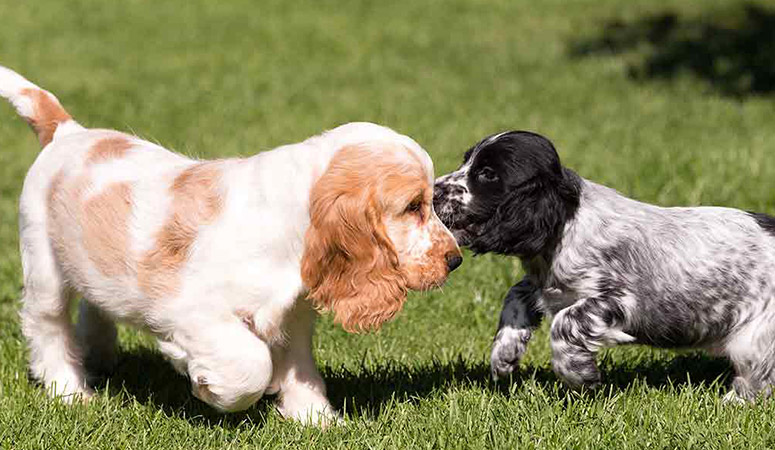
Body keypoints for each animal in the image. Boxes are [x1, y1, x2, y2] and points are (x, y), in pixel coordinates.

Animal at [1, 65, 460, 424]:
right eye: (413, 206)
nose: (455, 260)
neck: (292, 222)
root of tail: (67, 132)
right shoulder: (194, 311)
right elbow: (251, 363)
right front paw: (210, 385)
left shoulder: (293, 315)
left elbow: (300, 367)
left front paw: (316, 419)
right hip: (44, 266)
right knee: (47, 327)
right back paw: (70, 390)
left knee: (96, 307)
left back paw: (98, 356)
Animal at [434, 130, 775, 400]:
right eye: (466, 162)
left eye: (487, 173)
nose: (434, 190)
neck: (567, 222)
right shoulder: (547, 286)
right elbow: (515, 295)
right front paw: (504, 354)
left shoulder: (619, 299)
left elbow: (564, 324)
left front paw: (579, 376)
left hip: (755, 337)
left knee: (757, 376)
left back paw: (734, 401)